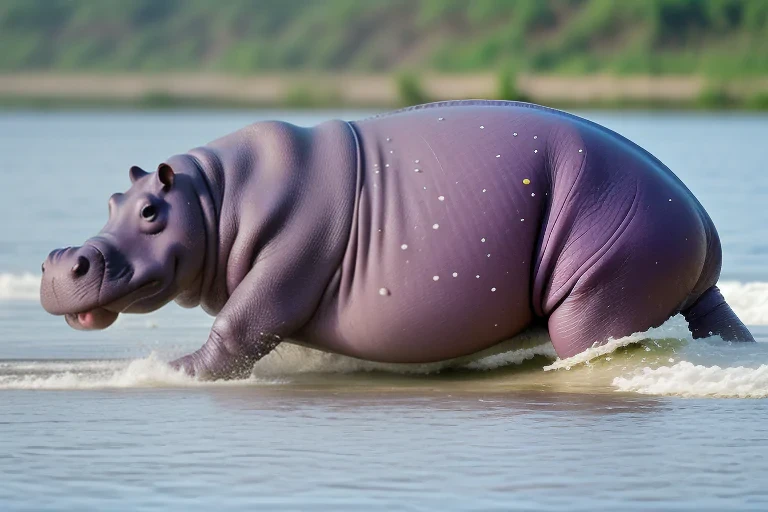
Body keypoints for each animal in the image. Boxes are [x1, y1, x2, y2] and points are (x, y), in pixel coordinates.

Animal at [40, 100, 754, 379]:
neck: (214, 198)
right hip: (687, 286)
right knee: (715, 319)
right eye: (113, 201)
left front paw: (174, 370)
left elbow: (242, 326)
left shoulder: (289, 257)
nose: (61, 259)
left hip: (602, 280)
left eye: (151, 211)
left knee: (594, 336)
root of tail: (701, 221)